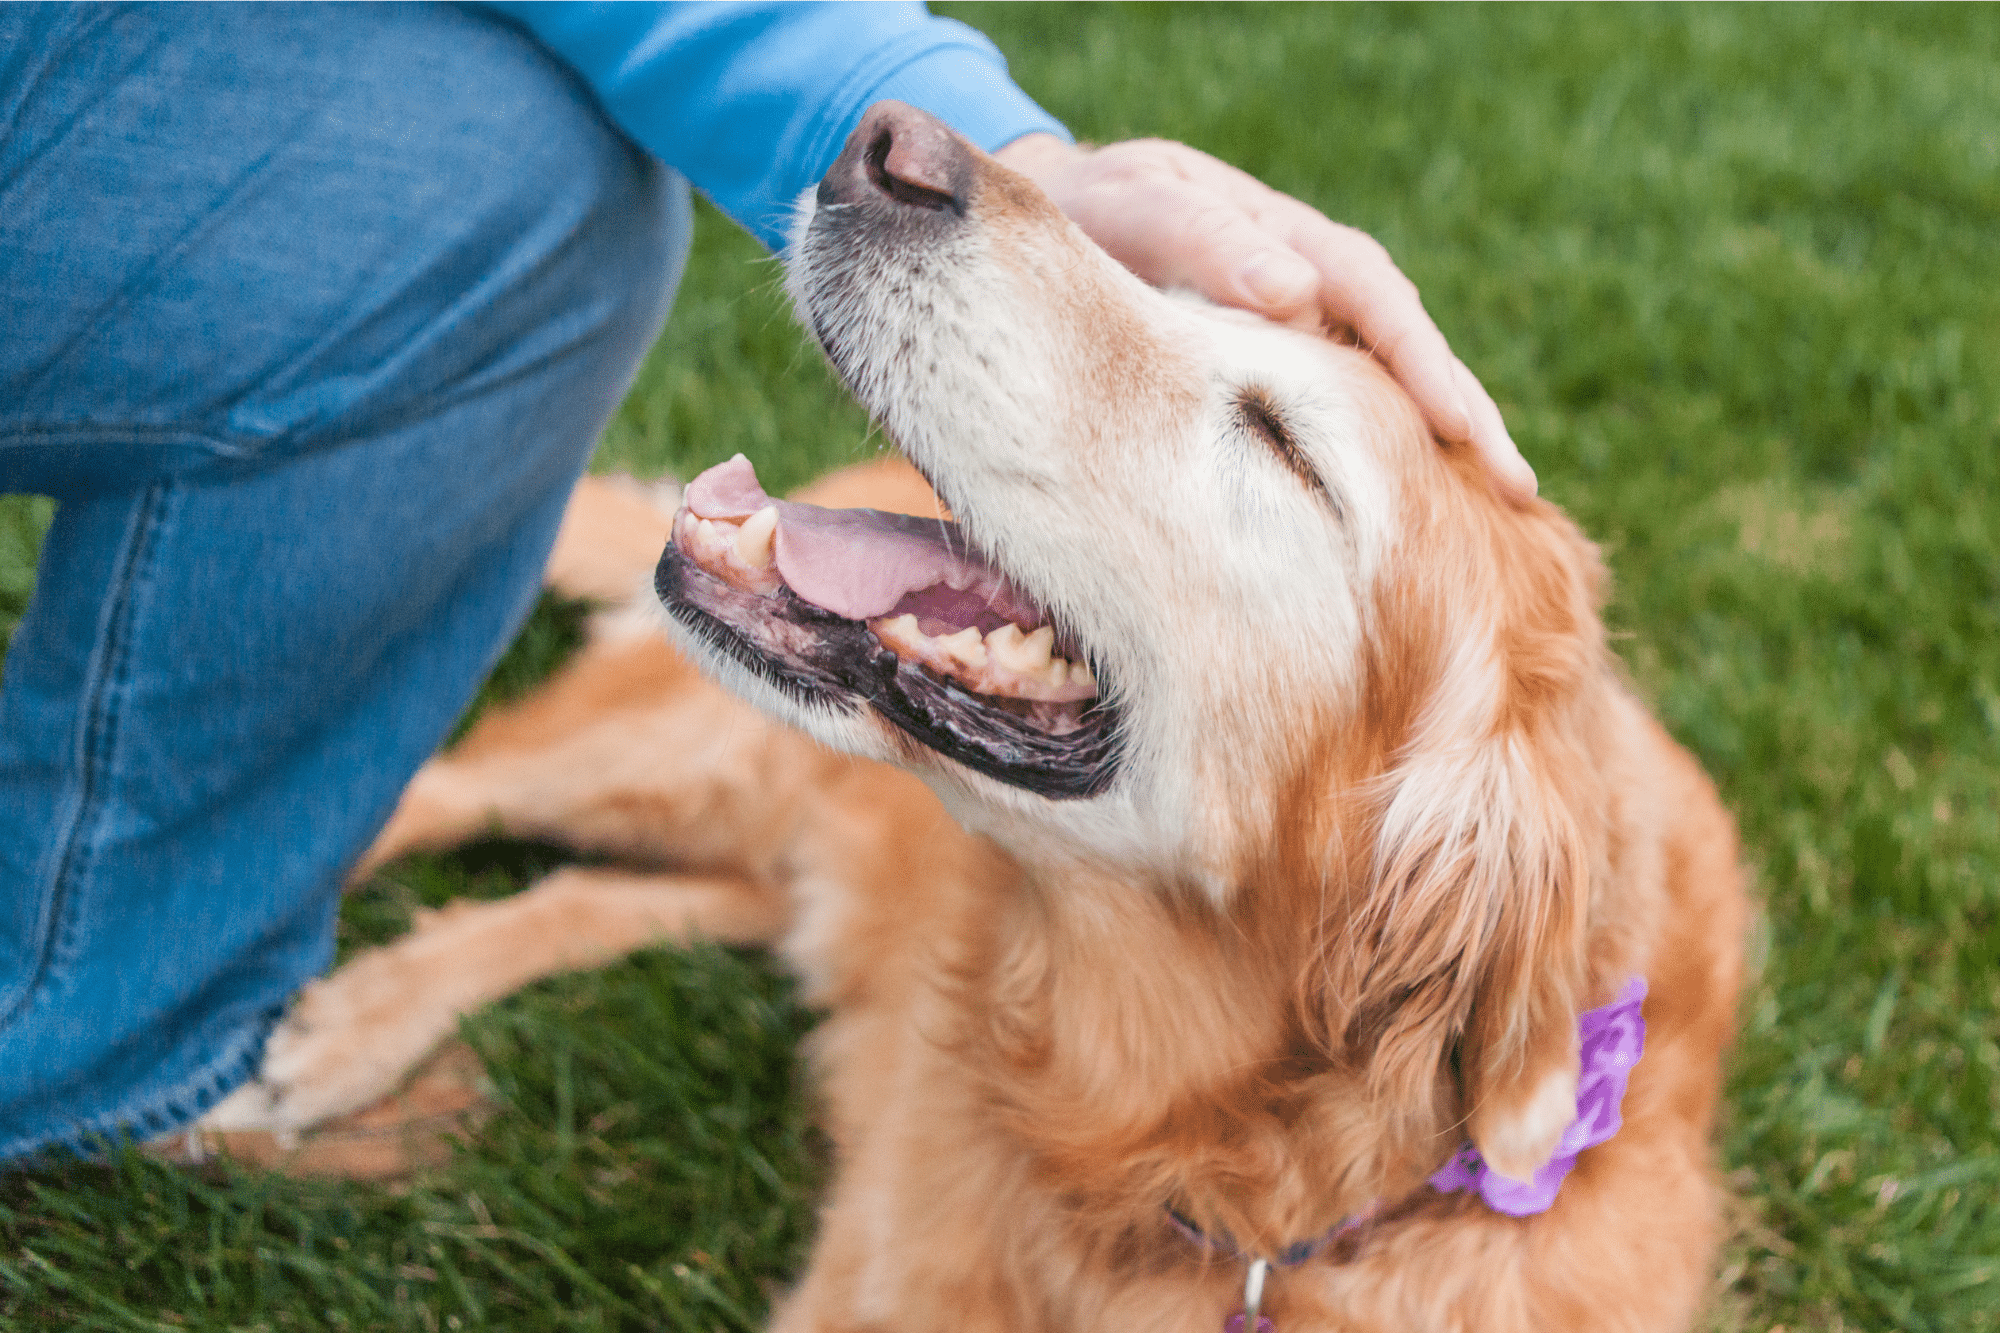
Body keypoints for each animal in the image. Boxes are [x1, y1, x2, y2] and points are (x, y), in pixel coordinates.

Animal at [195, 101, 1744, 1328]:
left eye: (1283, 443)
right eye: (1192, 293)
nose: (889, 144)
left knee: (601, 892)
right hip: (688, 754)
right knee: (416, 793)